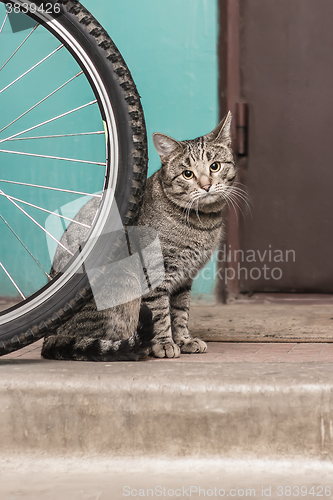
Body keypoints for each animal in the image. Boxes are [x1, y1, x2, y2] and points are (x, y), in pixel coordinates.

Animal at [41, 113, 235, 360]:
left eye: (215, 166)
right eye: (187, 174)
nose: (206, 185)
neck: (202, 223)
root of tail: (49, 336)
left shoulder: (184, 280)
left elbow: (180, 312)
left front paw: (184, 340)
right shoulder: (156, 273)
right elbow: (160, 313)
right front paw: (164, 343)